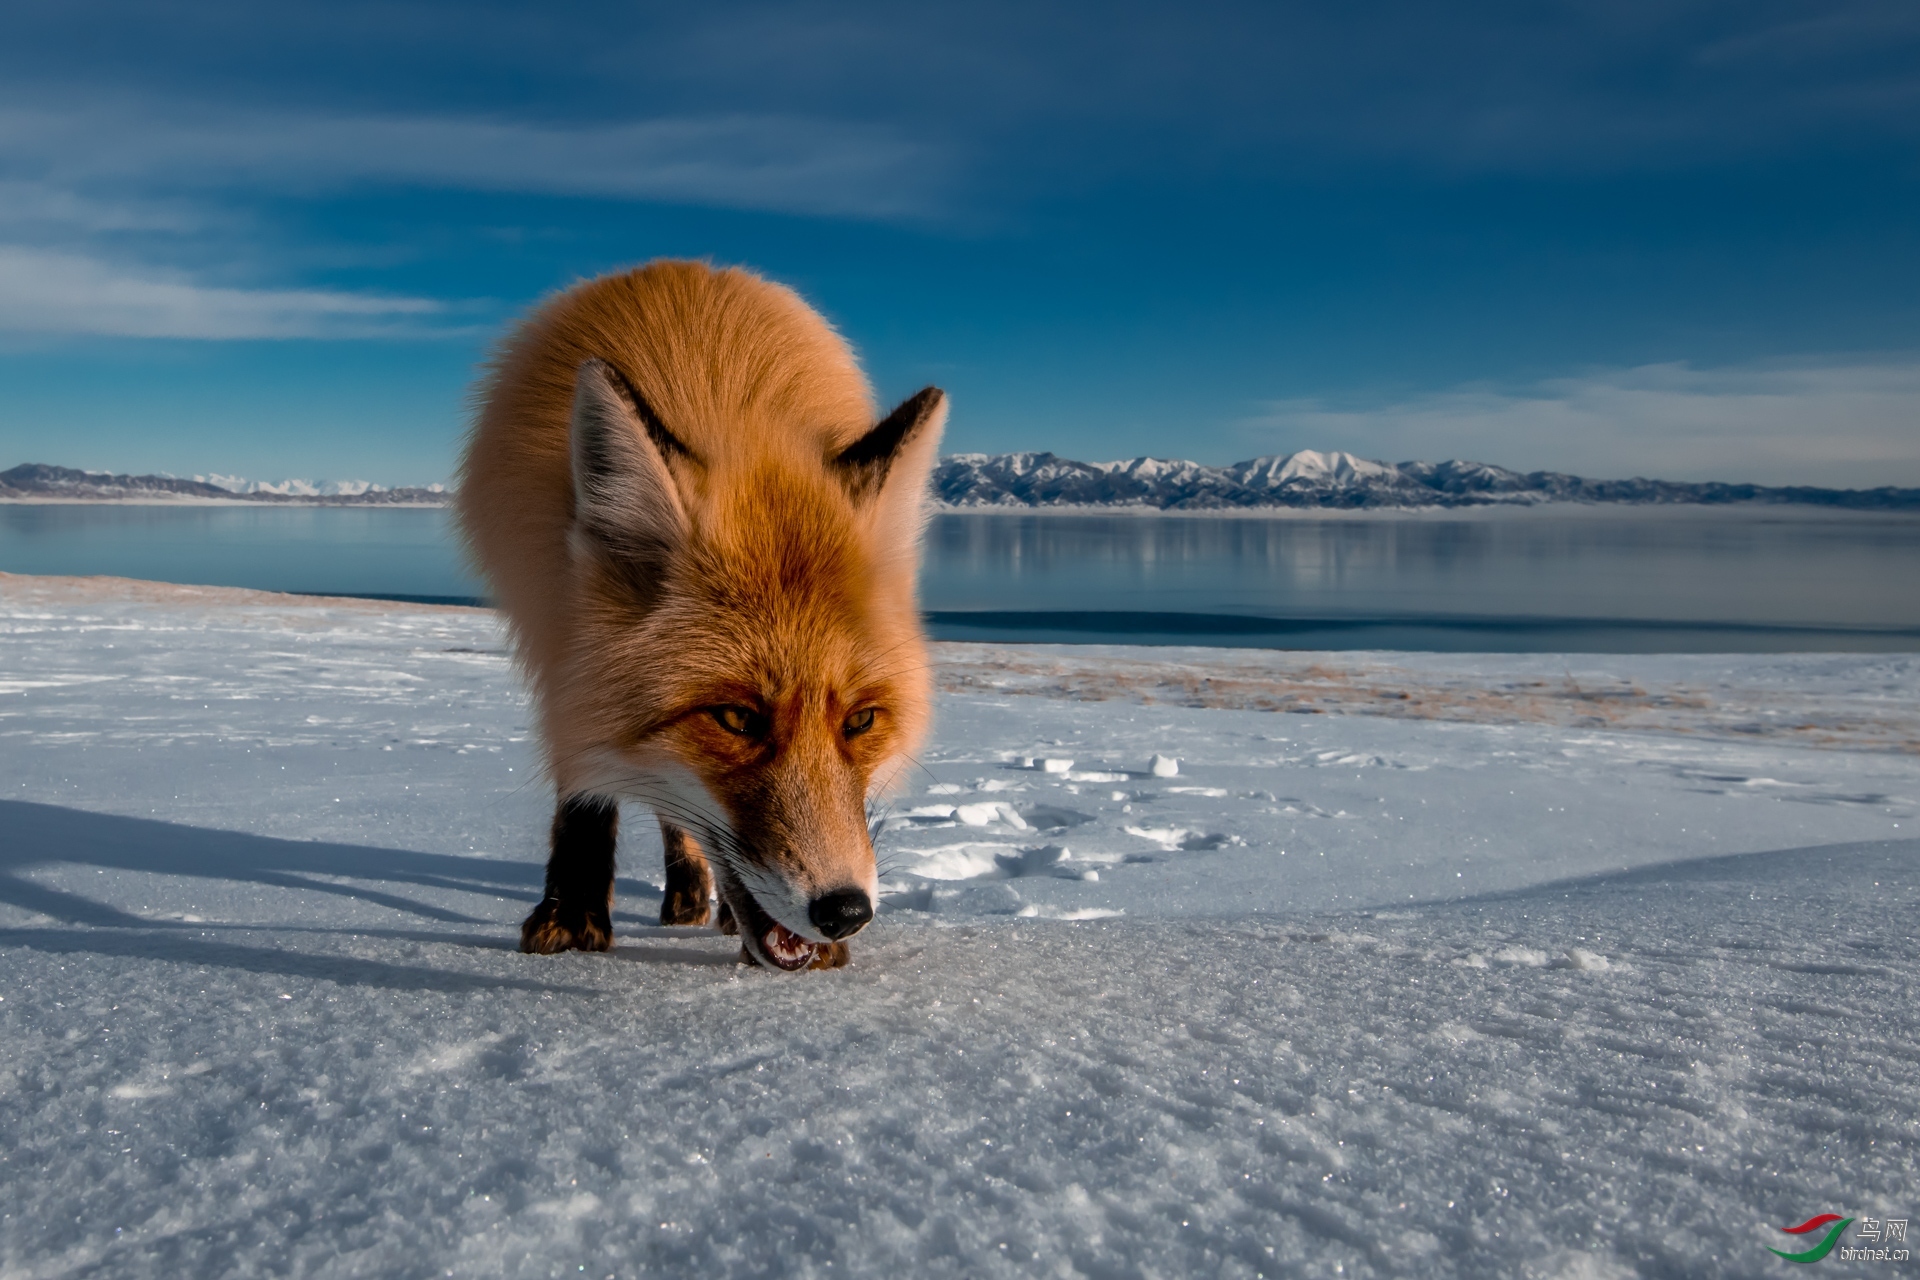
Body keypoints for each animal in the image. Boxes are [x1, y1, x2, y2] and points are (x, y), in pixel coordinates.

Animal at [458, 264, 952, 974]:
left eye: (860, 721)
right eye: (736, 720)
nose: (845, 912)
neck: (714, 393)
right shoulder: (555, 627)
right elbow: (583, 782)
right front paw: (572, 915)